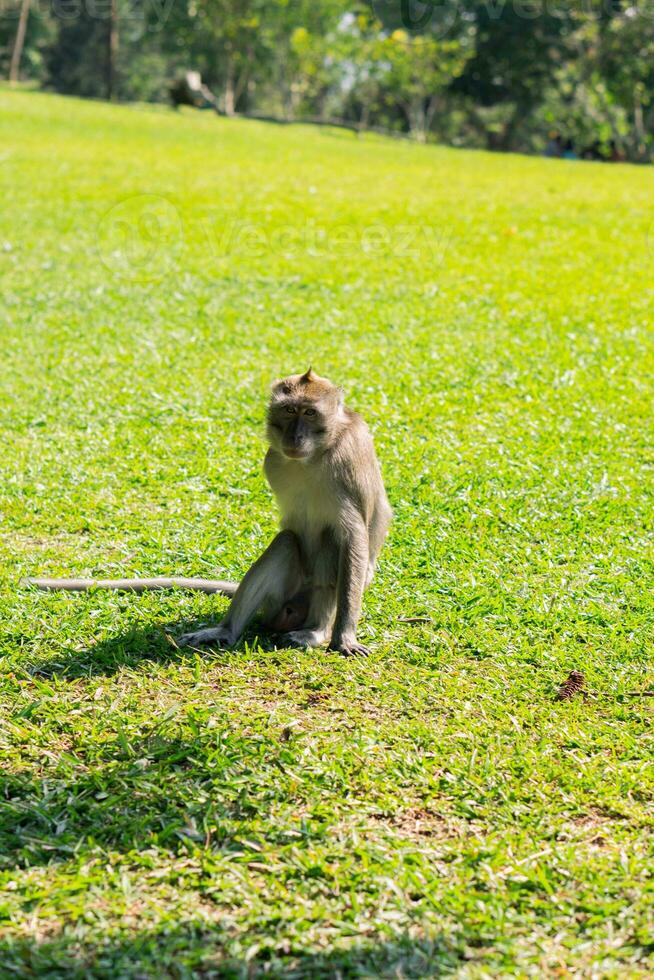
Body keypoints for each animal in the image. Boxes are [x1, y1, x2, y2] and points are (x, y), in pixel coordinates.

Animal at [28, 372, 392, 656]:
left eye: (310, 413)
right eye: (289, 410)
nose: (295, 435)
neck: (313, 456)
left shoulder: (347, 462)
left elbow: (353, 536)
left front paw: (343, 638)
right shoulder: (272, 459)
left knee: (332, 547)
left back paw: (316, 632)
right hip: (279, 601)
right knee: (287, 541)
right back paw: (225, 631)